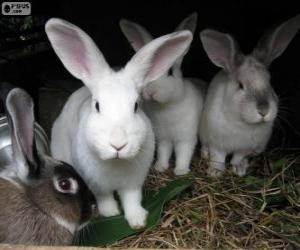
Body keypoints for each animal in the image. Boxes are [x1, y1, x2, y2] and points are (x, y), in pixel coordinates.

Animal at [47, 17, 192, 229]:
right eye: (97, 106)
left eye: (136, 106)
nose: (118, 145)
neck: (116, 164)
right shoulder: (96, 184)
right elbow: (104, 198)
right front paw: (110, 213)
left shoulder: (133, 183)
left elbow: (132, 199)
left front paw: (138, 220)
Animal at [119, 12, 206, 175]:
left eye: (171, 71)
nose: (151, 92)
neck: (166, 107)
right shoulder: (163, 139)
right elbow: (163, 152)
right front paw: (160, 167)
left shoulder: (186, 138)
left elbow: (184, 153)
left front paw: (181, 171)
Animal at [199, 13, 300, 177]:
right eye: (240, 85)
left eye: (270, 82)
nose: (264, 110)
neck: (243, 123)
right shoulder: (217, 143)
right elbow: (218, 157)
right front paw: (215, 172)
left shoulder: (245, 148)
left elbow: (238, 156)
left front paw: (238, 169)